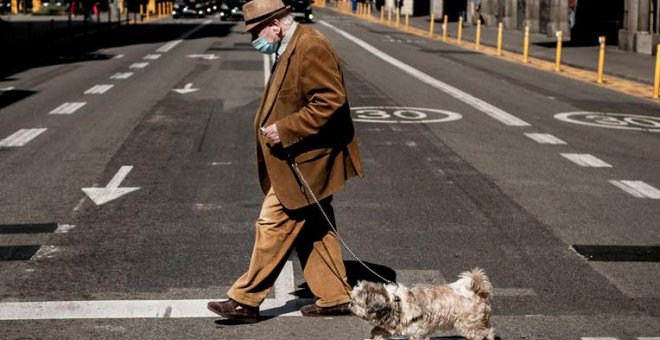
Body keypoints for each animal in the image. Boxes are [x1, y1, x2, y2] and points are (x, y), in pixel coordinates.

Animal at [350, 268, 496, 340]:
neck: (395, 303)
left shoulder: (418, 333)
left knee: (485, 333)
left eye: (357, 302)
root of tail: (479, 292)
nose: (350, 304)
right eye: (352, 299)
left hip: (469, 324)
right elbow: (378, 330)